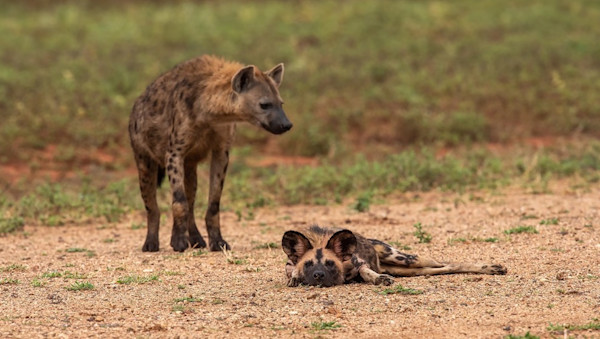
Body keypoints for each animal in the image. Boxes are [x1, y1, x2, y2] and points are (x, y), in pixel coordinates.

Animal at [129, 55, 292, 252]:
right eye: (264, 104)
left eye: (281, 104)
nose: (287, 125)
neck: (209, 115)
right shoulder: (174, 152)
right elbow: (179, 201)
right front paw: (178, 242)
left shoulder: (221, 151)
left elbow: (213, 203)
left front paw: (218, 242)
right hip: (143, 157)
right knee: (152, 204)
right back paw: (151, 243)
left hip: (190, 166)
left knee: (191, 198)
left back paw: (196, 239)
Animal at [282, 226, 506, 286]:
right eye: (309, 264)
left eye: (330, 264)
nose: (318, 276)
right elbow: (290, 271)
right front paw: (295, 278)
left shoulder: (359, 264)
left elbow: (367, 273)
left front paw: (379, 279)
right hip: (410, 270)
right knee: (444, 268)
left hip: (405, 258)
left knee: (449, 263)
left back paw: (492, 268)